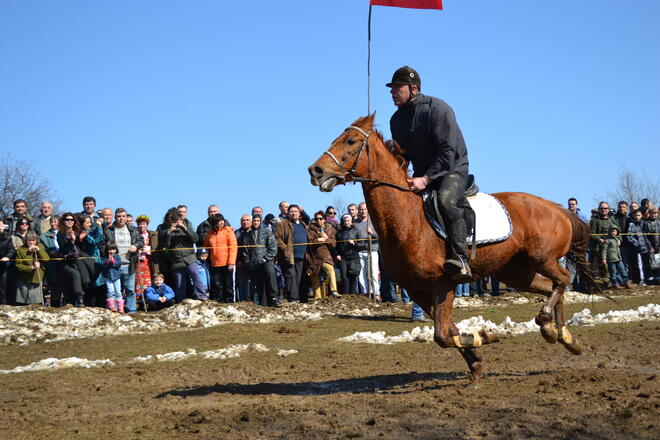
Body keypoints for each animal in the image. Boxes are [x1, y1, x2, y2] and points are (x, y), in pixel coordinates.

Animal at [306, 113, 596, 382]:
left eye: (351, 141)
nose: (315, 170)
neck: (408, 219)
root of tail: (556, 208)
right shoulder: (418, 290)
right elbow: (449, 332)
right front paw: (477, 361)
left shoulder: (443, 283)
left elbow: (443, 335)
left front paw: (486, 336)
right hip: (516, 273)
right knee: (552, 287)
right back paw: (563, 336)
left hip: (542, 259)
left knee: (563, 279)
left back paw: (549, 323)